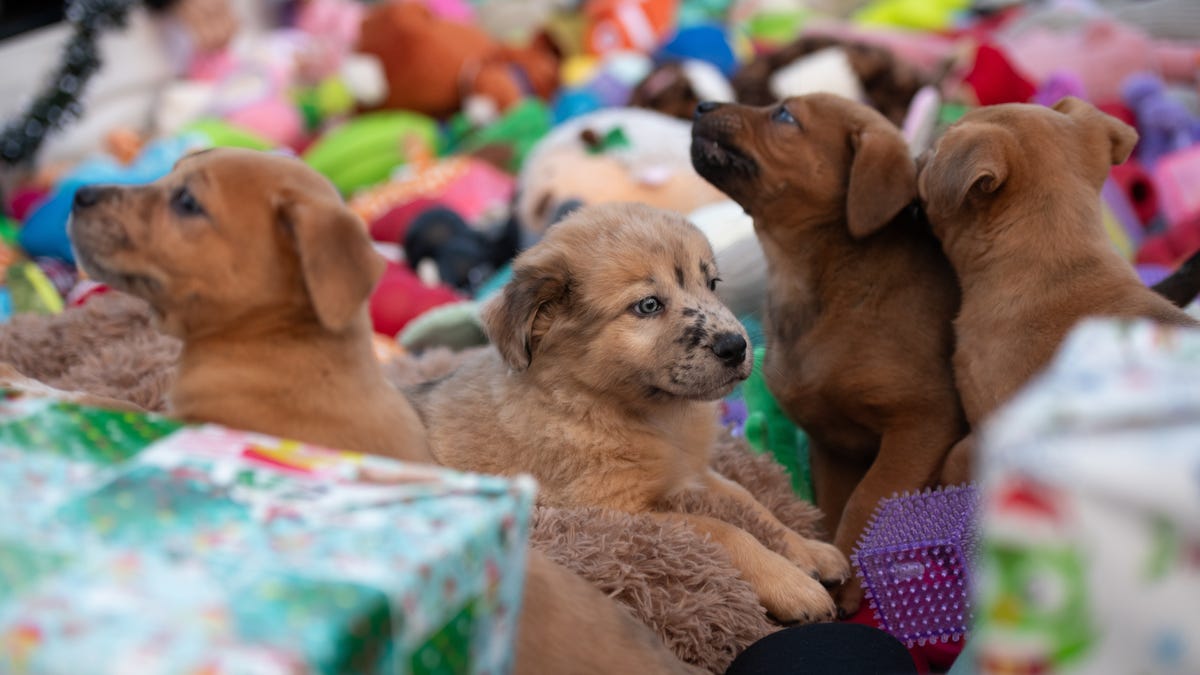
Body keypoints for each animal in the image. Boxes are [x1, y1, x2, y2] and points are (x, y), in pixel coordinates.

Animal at [417, 201, 849, 624]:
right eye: (648, 305)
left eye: (712, 284)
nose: (736, 346)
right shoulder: (617, 512)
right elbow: (723, 530)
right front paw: (790, 584)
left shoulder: (692, 473)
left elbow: (751, 503)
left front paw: (809, 550)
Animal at [691, 94, 969, 614]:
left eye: (784, 115)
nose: (701, 105)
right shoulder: (832, 444)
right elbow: (834, 507)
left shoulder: (923, 422)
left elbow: (867, 499)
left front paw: (853, 575)